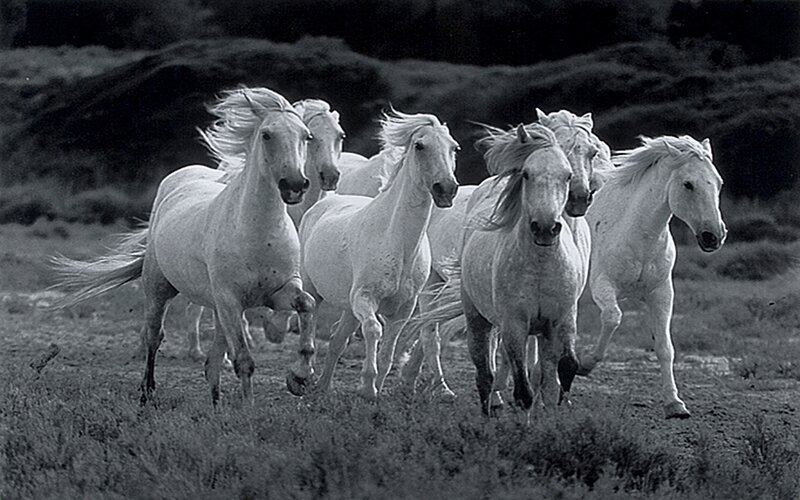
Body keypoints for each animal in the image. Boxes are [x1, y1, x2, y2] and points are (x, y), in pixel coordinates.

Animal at [50, 87, 317, 405]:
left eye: (306, 136)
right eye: (266, 134)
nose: (295, 185)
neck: (257, 232)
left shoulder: (277, 292)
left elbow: (307, 304)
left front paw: (300, 377)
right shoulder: (231, 300)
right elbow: (243, 361)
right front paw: (249, 409)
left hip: (215, 307)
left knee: (211, 361)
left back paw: (215, 404)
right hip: (159, 289)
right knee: (154, 337)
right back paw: (147, 393)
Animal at [184, 98, 345, 363]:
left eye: (340, 136)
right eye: (313, 138)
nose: (330, 175)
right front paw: (274, 329)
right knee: (197, 306)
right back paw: (198, 350)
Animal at [299, 109, 459, 400]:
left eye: (454, 147)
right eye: (419, 146)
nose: (446, 189)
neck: (395, 240)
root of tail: (324, 202)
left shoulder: (404, 309)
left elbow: (388, 351)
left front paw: (375, 391)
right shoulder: (364, 298)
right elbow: (374, 330)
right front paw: (367, 387)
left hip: (348, 308)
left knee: (338, 339)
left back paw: (323, 388)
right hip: (312, 290)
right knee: (309, 323)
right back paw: (301, 378)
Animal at [401, 109, 613, 399]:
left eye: (592, 152)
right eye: (559, 146)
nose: (579, 198)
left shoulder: (564, 306)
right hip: (434, 283)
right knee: (432, 332)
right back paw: (440, 386)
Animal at [577, 135, 727, 419]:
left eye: (718, 182)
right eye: (688, 184)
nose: (714, 236)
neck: (637, 233)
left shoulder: (661, 293)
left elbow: (665, 347)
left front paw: (675, 404)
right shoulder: (602, 286)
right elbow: (613, 318)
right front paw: (584, 364)